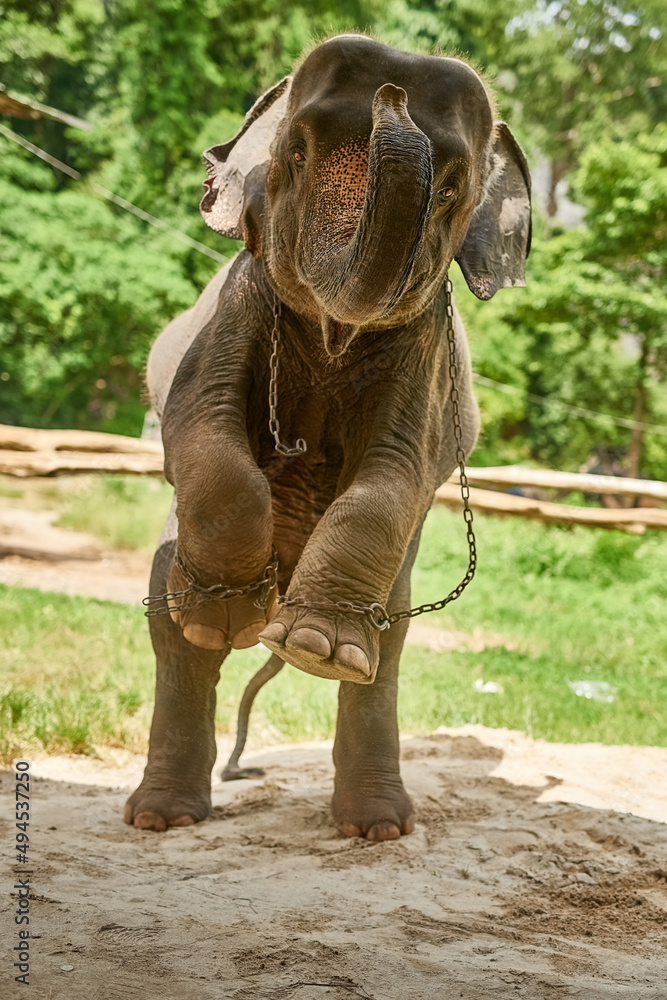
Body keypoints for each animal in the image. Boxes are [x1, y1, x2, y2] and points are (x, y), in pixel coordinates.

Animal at [125, 34, 531, 841]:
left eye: (450, 190)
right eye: (296, 155)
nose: (393, 90)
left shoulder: (424, 349)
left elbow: (398, 470)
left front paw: (312, 646)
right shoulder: (239, 301)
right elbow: (201, 424)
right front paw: (229, 616)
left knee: (389, 645)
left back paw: (372, 808)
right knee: (171, 625)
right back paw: (164, 804)